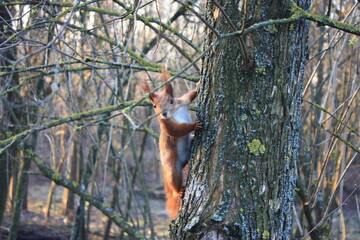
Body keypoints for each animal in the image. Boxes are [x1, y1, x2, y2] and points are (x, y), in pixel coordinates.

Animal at [141, 68, 202, 219]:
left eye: (171, 100)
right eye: (154, 106)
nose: (163, 114)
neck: (175, 112)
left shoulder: (182, 102)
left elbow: (188, 96)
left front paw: (198, 86)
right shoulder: (167, 126)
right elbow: (178, 130)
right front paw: (194, 125)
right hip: (173, 168)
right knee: (174, 181)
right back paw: (178, 191)